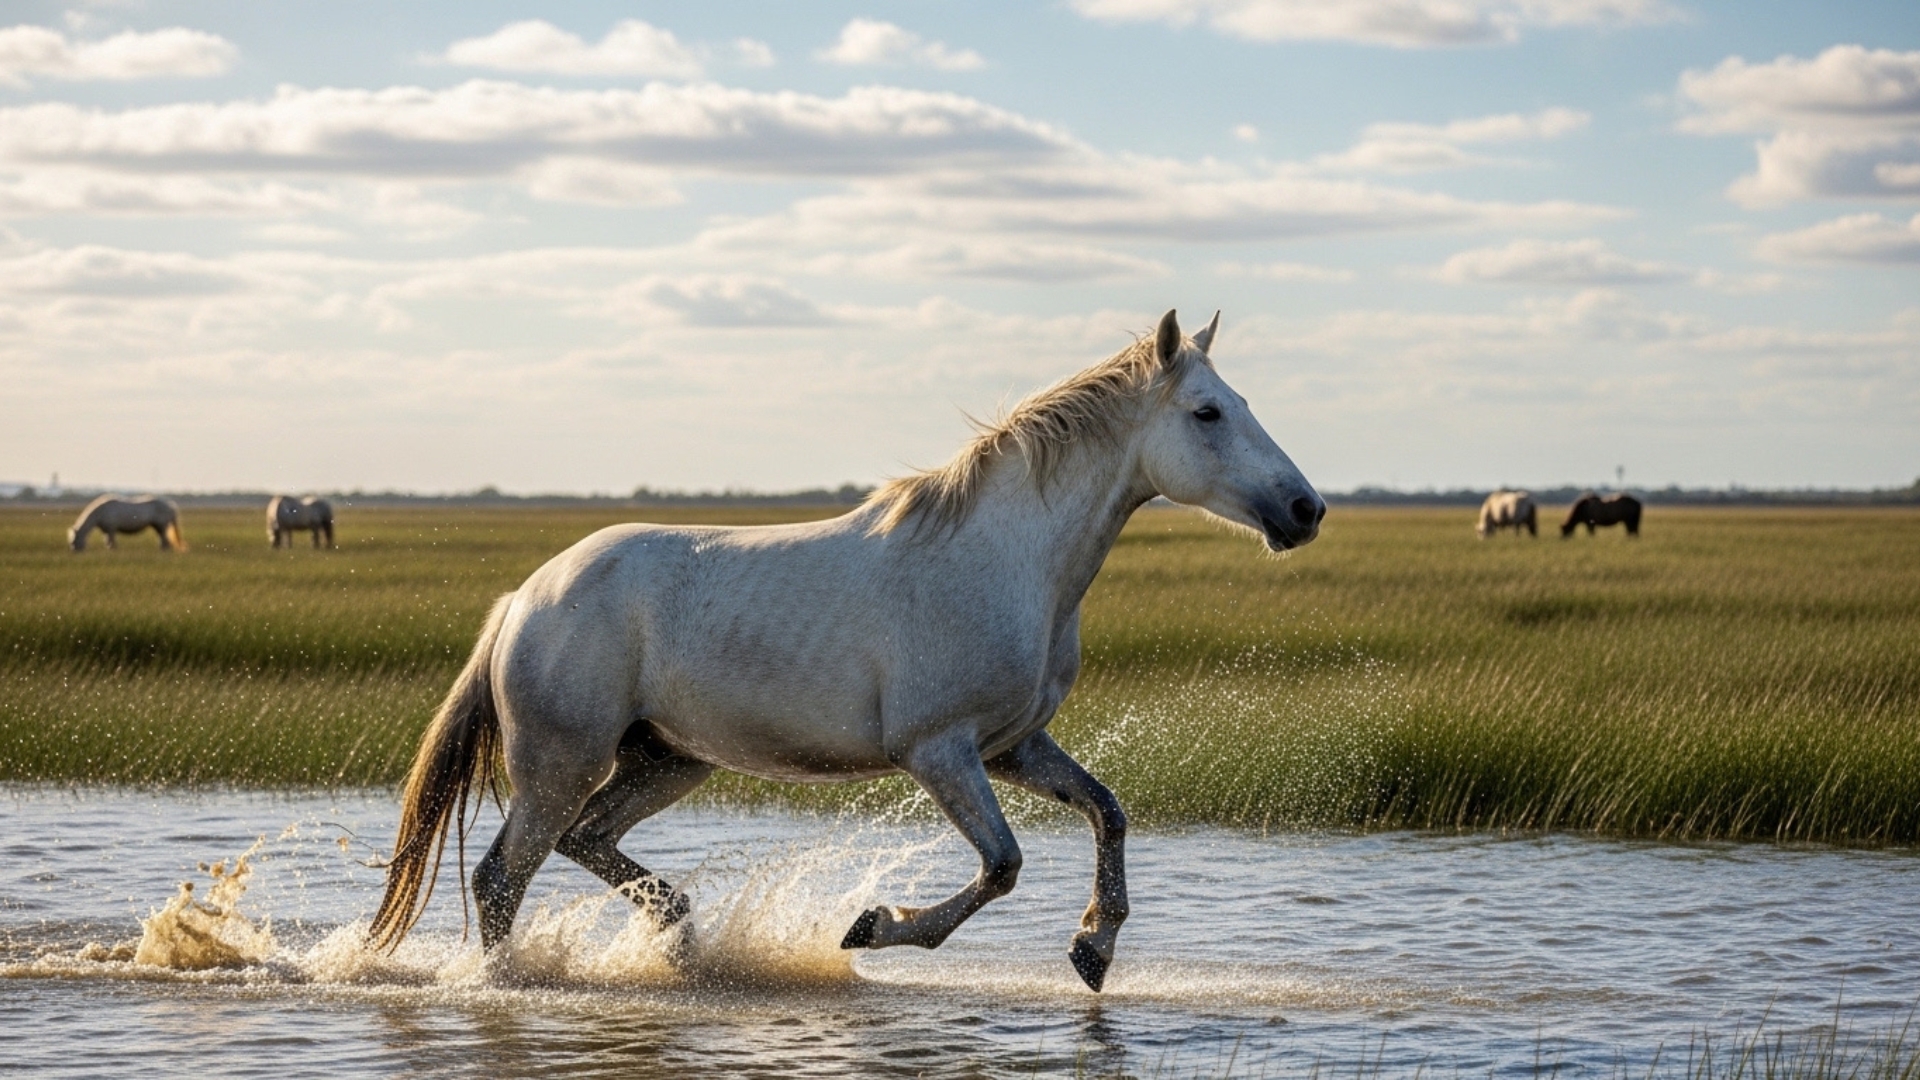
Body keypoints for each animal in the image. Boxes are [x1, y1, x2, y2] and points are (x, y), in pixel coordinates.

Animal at [368, 309, 1325, 993]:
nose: (1305, 510)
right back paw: (512, 983)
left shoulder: (1011, 746)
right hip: (559, 763)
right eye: (1207, 412)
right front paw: (875, 925)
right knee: (502, 876)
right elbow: (1004, 866)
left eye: (1242, 404)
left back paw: (681, 938)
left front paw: (1093, 948)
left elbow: (1108, 812)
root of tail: (524, 599)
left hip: (665, 760)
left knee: (584, 842)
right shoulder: (939, 751)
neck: (1008, 558)